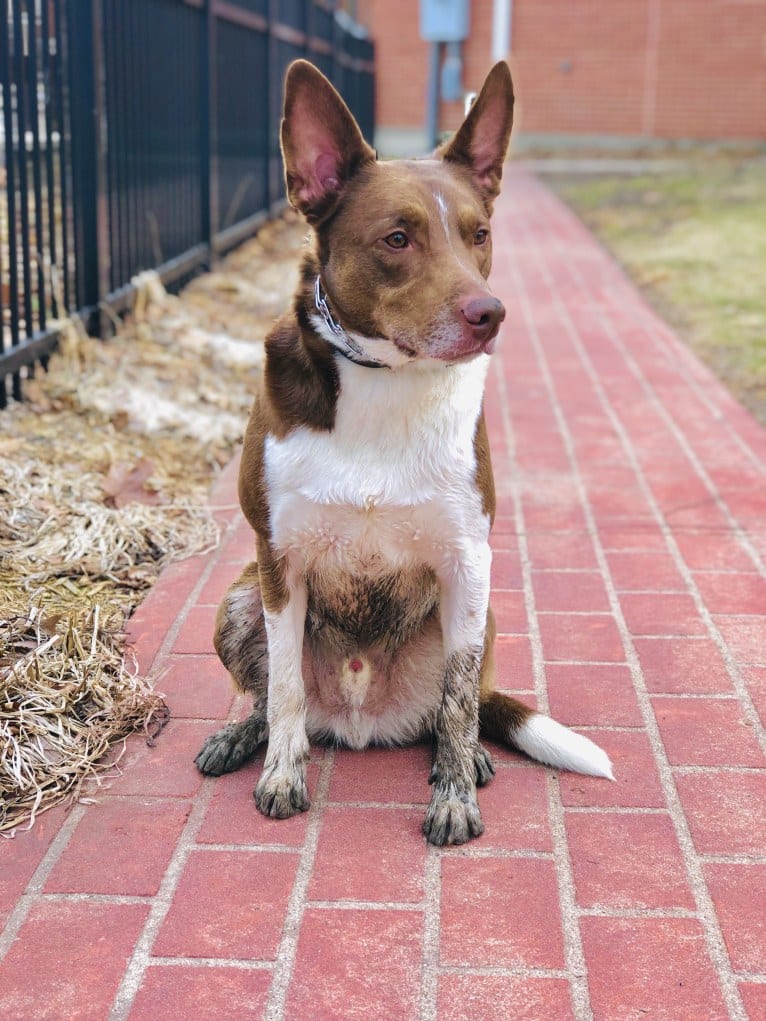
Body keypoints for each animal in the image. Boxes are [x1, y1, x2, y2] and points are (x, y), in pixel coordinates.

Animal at [195, 57, 616, 845]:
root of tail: (362, 723)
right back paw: (244, 737)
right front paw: (281, 773)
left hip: (481, 609)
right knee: (271, 697)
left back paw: (471, 757)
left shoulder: (467, 559)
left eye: (480, 235)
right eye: (397, 239)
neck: (385, 383)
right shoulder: (278, 562)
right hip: (238, 596)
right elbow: (287, 689)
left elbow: (457, 700)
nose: (491, 314)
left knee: (459, 703)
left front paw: (454, 795)